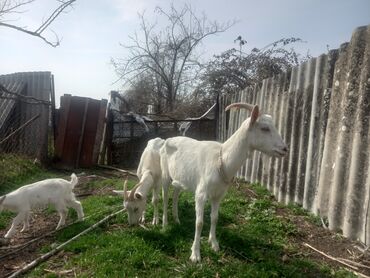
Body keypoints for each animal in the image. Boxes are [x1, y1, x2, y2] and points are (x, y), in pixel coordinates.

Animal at [160, 103, 288, 262]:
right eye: (265, 128)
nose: (285, 149)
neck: (222, 161)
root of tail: (167, 139)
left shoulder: (218, 194)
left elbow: (214, 218)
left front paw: (214, 244)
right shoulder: (201, 194)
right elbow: (199, 222)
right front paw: (195, 254)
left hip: (180, 179)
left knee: (176, 195)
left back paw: (177, 220)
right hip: (165, 175)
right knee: (165, 197)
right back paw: (165, 224)